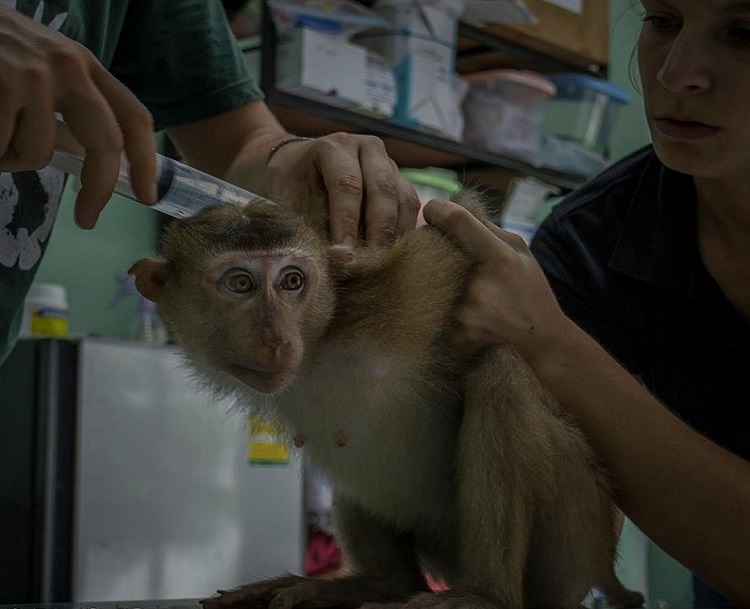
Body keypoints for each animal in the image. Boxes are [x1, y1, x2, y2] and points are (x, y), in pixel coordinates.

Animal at [129, 189, 648, 608]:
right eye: (240, 283)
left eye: (292, 281)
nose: (276, 339)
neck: (318, 351)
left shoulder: (404, 292)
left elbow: (464, 231)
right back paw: (378, 585)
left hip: (574, 541)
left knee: (502, 373)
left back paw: (486, 595)